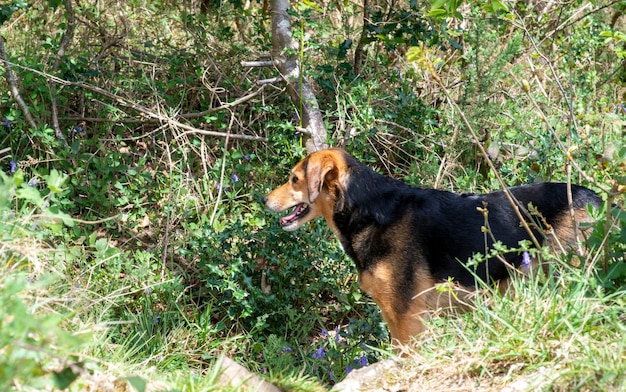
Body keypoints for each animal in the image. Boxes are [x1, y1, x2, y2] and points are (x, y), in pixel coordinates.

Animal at [260, 148, 596, 346]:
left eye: (294, 179)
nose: (263, 199)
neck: (368, 211)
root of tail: (597, 198)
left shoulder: (408, 318)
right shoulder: (393, 316)